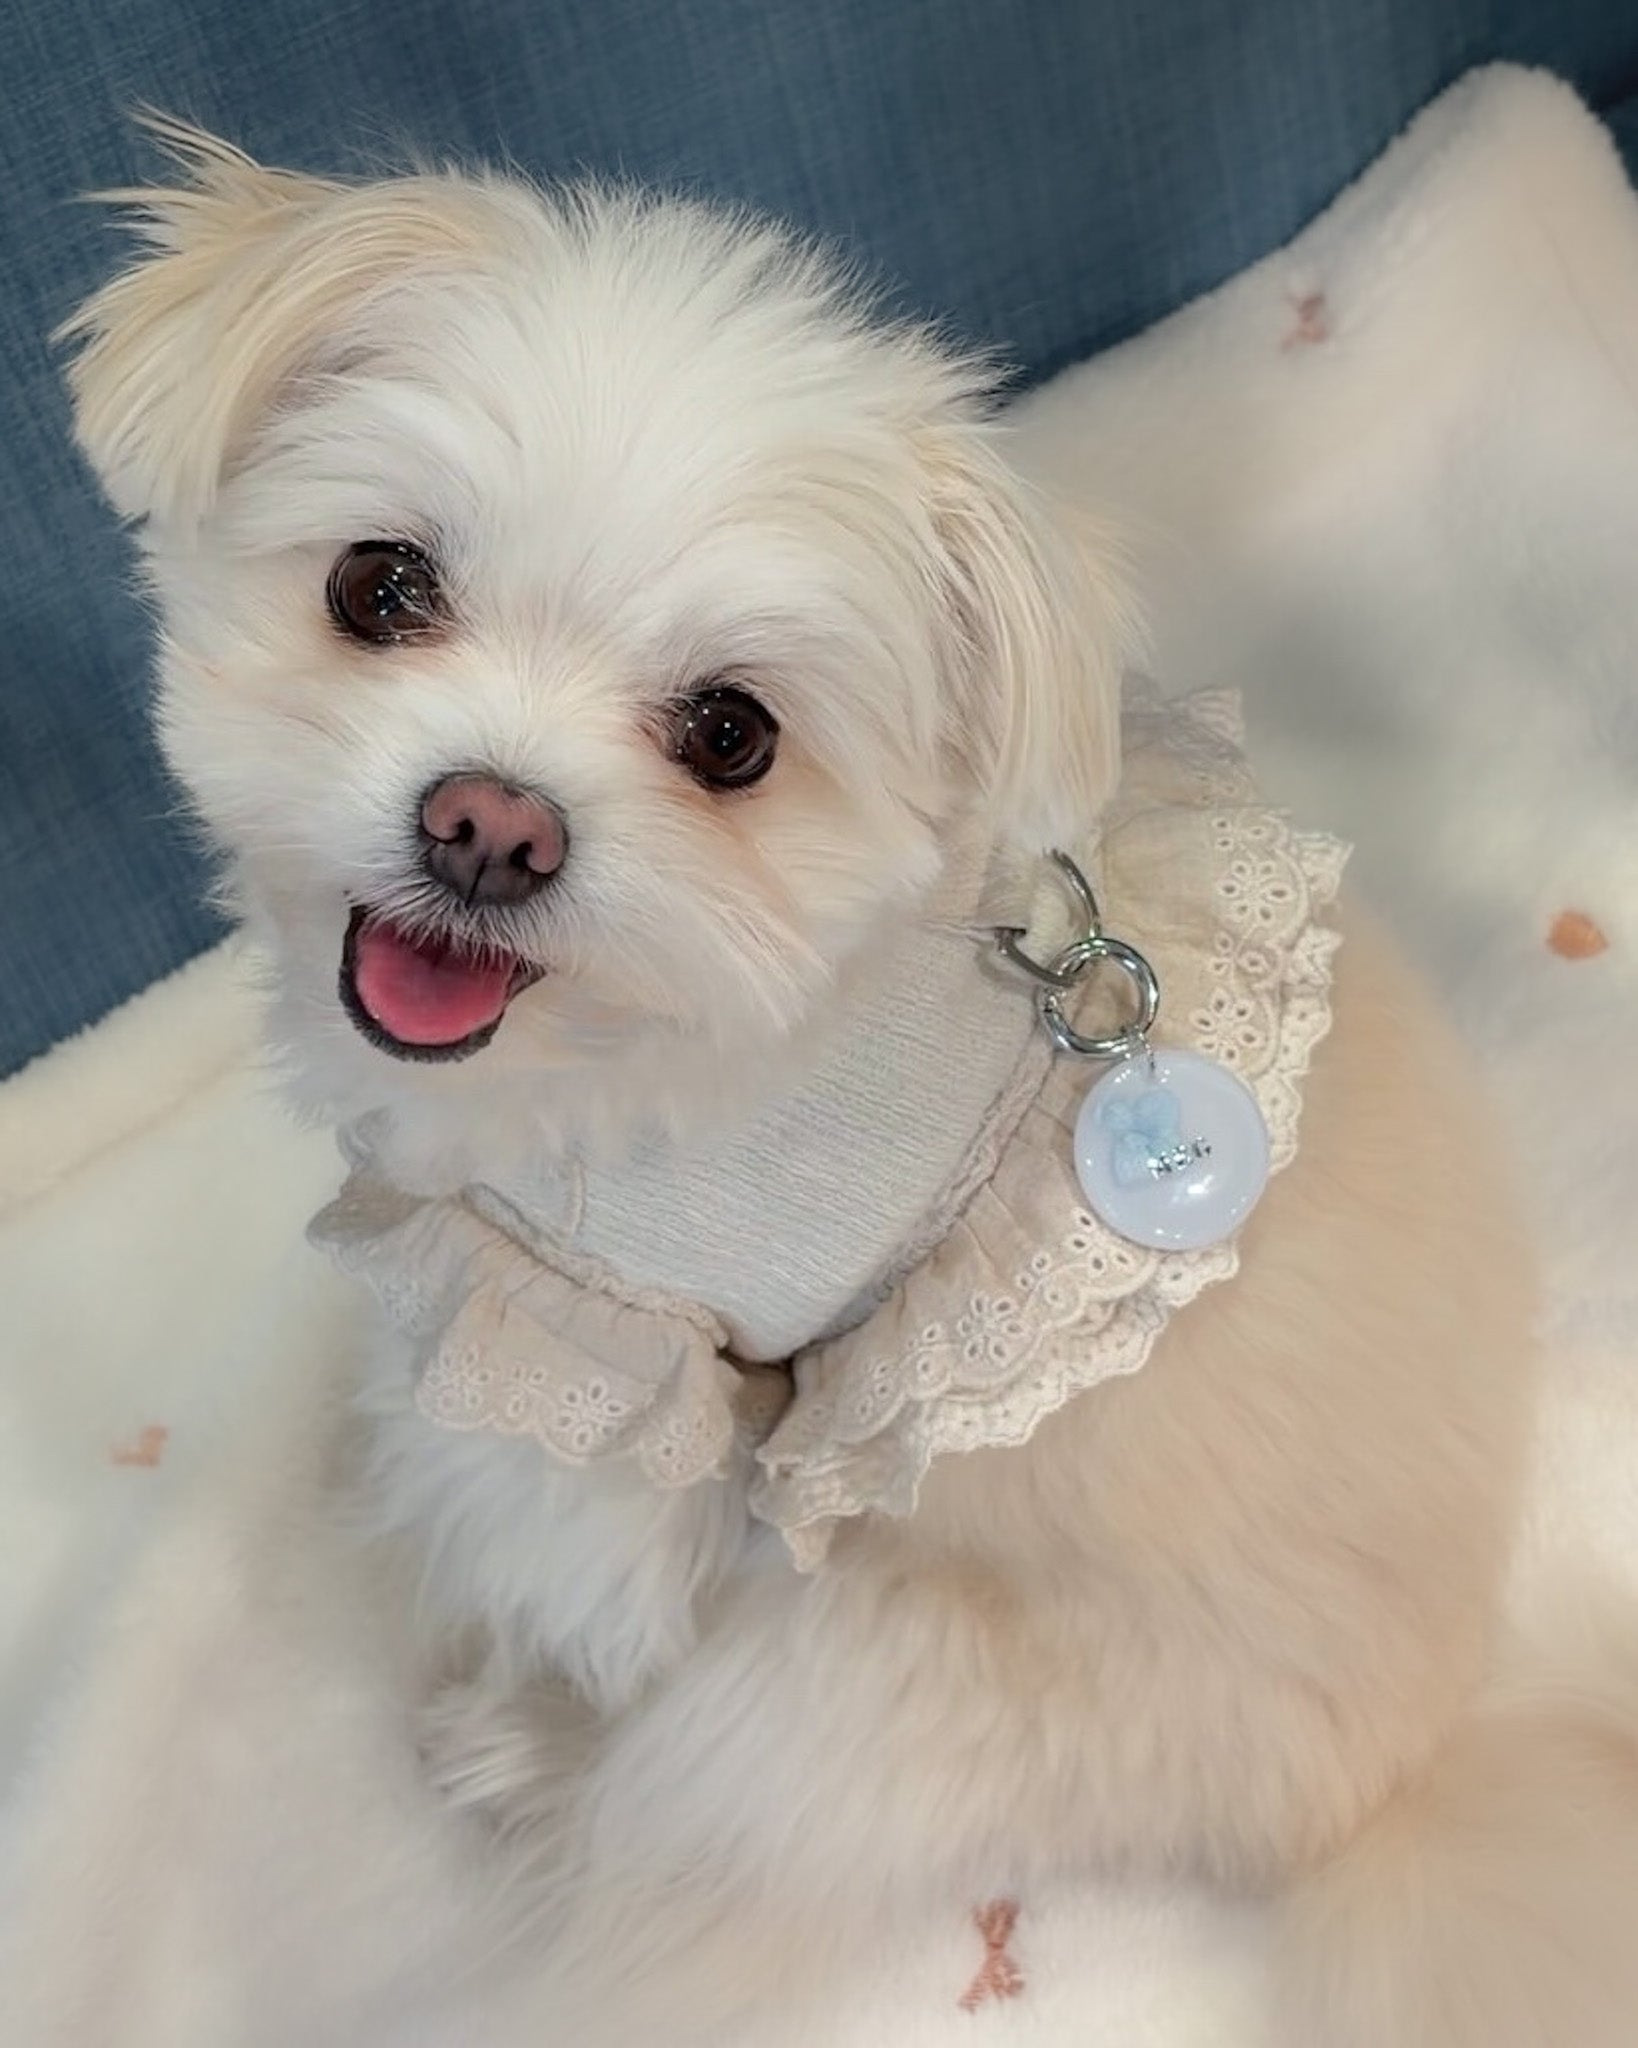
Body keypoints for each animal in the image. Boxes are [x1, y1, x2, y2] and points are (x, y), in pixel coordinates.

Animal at [64, 120, 1638, 2046]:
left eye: (730, 735)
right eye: (381, 585)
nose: (488, 826)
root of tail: (1393, 1779)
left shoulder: (624, 1362)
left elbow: (594, 1573)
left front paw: (537, 1701)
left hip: (860, 1679)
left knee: (702, 1781)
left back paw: (534, 1764)